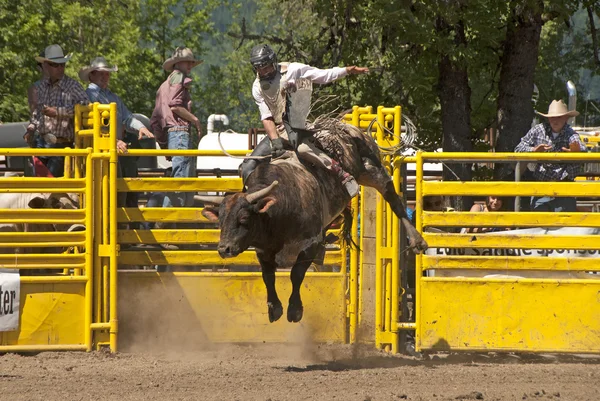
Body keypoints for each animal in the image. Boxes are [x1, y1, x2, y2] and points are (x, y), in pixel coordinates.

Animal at [202, 118, 426, 322]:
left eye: (244, 218)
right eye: (221, 220)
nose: (224, 249)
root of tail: (345, 126)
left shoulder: (310, 242)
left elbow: (296, 274)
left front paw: (294, 310)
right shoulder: (263, 250)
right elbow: (268, 276)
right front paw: (274, 308)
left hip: (371, 169)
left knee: (393, 199)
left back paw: (417, 240)